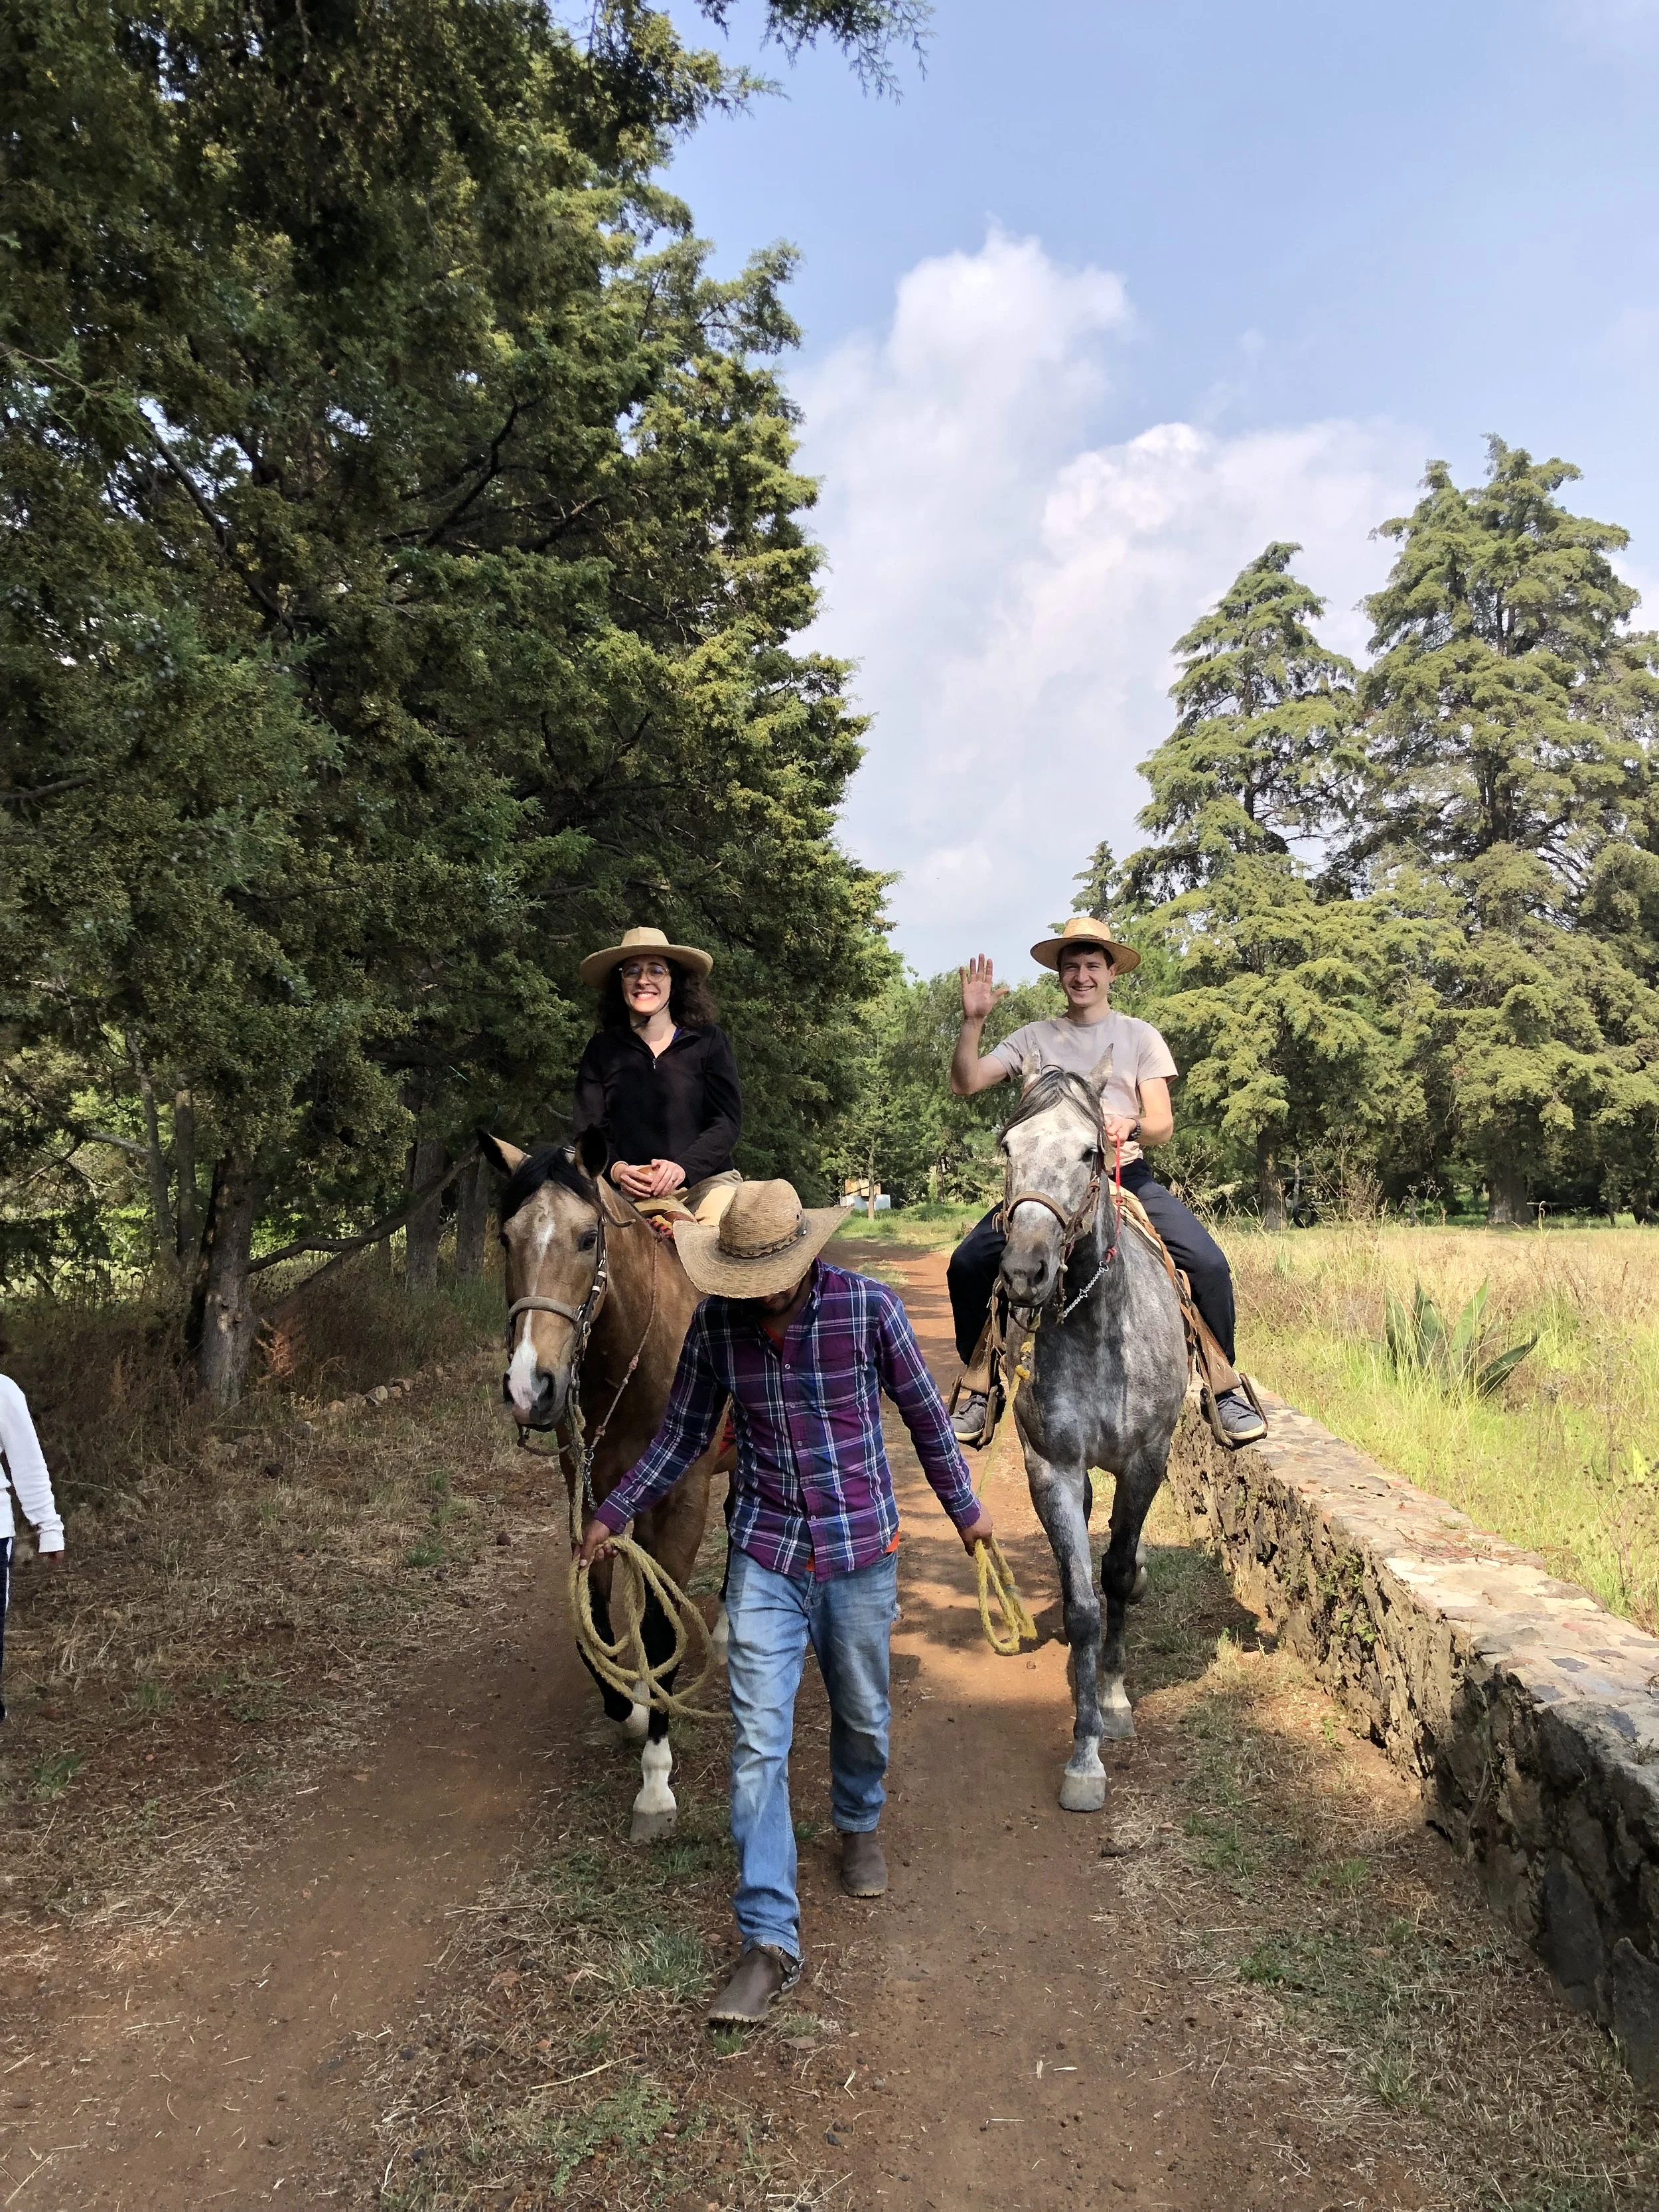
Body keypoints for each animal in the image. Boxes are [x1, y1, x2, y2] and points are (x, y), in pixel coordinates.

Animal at [482, 1129, 725, 1842]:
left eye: (588, 1237)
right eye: (506, 1236)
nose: (529, 1388)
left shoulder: (683, 1501)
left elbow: (665, 1632)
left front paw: (656, 1784)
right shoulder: (592, 1494)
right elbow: (597, 1611)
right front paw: (633, 1707)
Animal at [996, 1062, 1190, 1813]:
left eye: (1089, 1153)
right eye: (1008, 1148)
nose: (1024, 1272)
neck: (1098, 1328)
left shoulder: (1145, 1462)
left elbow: (1114, 1572)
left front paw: (1110, 1699)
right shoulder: (1052, 1464)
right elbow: (1083, 1604)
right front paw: (1084, 1755)